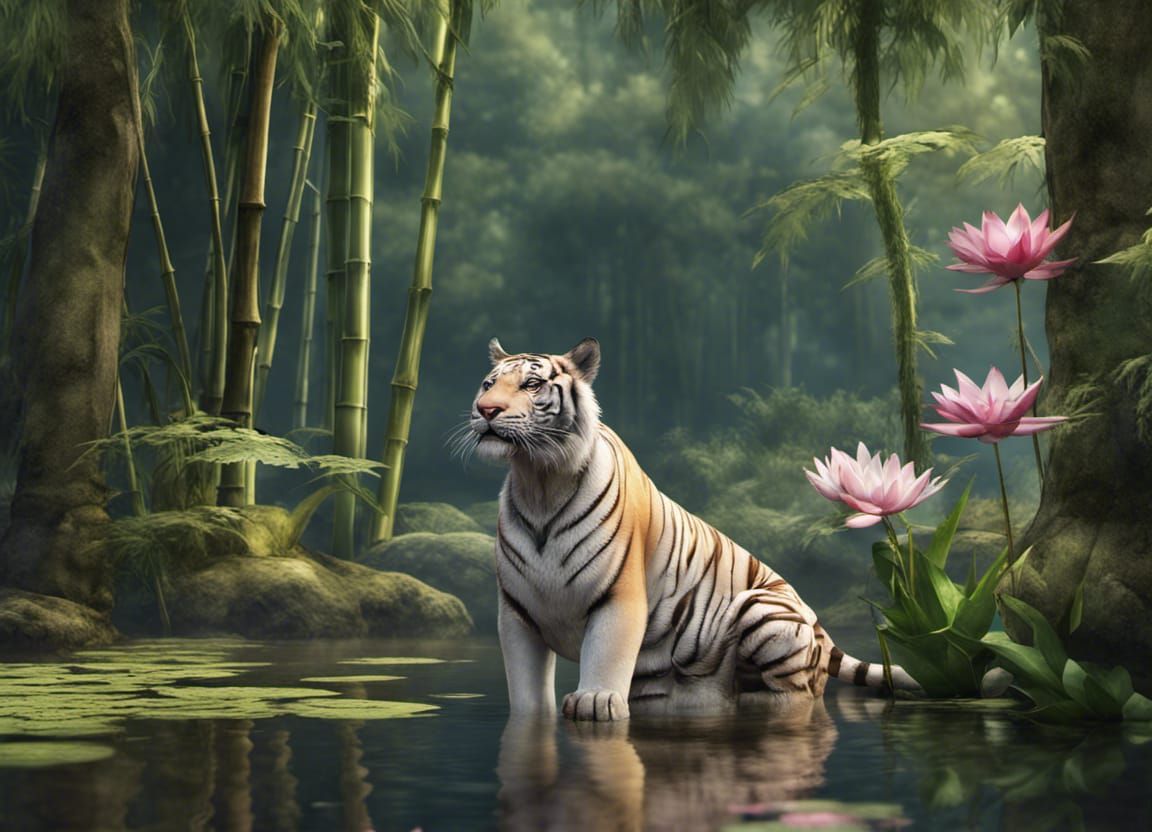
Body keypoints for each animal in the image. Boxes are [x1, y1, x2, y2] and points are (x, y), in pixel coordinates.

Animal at [465, 337, 918, 721]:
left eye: (531, 384)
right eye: (488, 384)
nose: (486, 410)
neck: (540, 481)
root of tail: (822, 629)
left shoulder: (619, 594)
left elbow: (607, 652)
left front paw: (596, 700)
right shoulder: (518, 609)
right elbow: (525, 680)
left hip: (760, 609)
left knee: (799, 692)